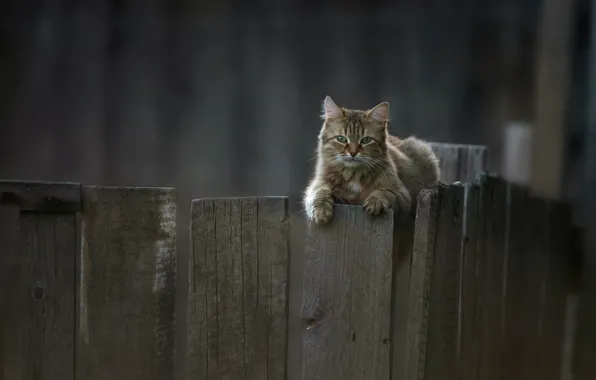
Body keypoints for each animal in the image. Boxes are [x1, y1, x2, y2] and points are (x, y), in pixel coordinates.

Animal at [304, 96, 440, 224]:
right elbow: (319, 193)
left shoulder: (402, 196)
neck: (354, 175)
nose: (353, 152)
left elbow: (384, 192)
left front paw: (375, 202)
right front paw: (320, 210)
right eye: (341, 139)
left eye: (366, 140)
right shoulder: (317, 185)